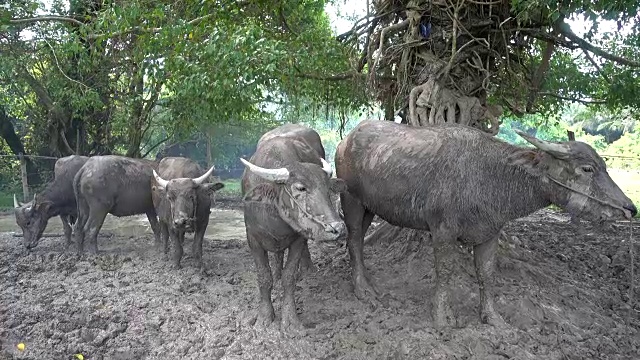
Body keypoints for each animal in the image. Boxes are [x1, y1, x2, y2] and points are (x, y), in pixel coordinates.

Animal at [241, 124, 350, 334]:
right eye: (300, 188)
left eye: (328, 189)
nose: (338, 229)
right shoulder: (253, 238)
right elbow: (264, 277)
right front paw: (264, 318)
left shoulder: (298, 238)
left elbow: (289, 277)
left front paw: (290, 321)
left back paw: (308, 269)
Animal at [336, 119, 636, 328]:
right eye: (587, 169)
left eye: (605, 166)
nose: (630, 208)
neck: (491, 177)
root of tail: (346, 141)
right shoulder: (442, 230)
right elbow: (444, 271)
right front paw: (443, 318)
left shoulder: (490, 233)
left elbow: (486, 274)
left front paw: (492, 318)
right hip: (351, 200)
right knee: (353, 239)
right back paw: (362, 290)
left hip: (370, 208)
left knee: (359, 240)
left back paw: (369, 284)